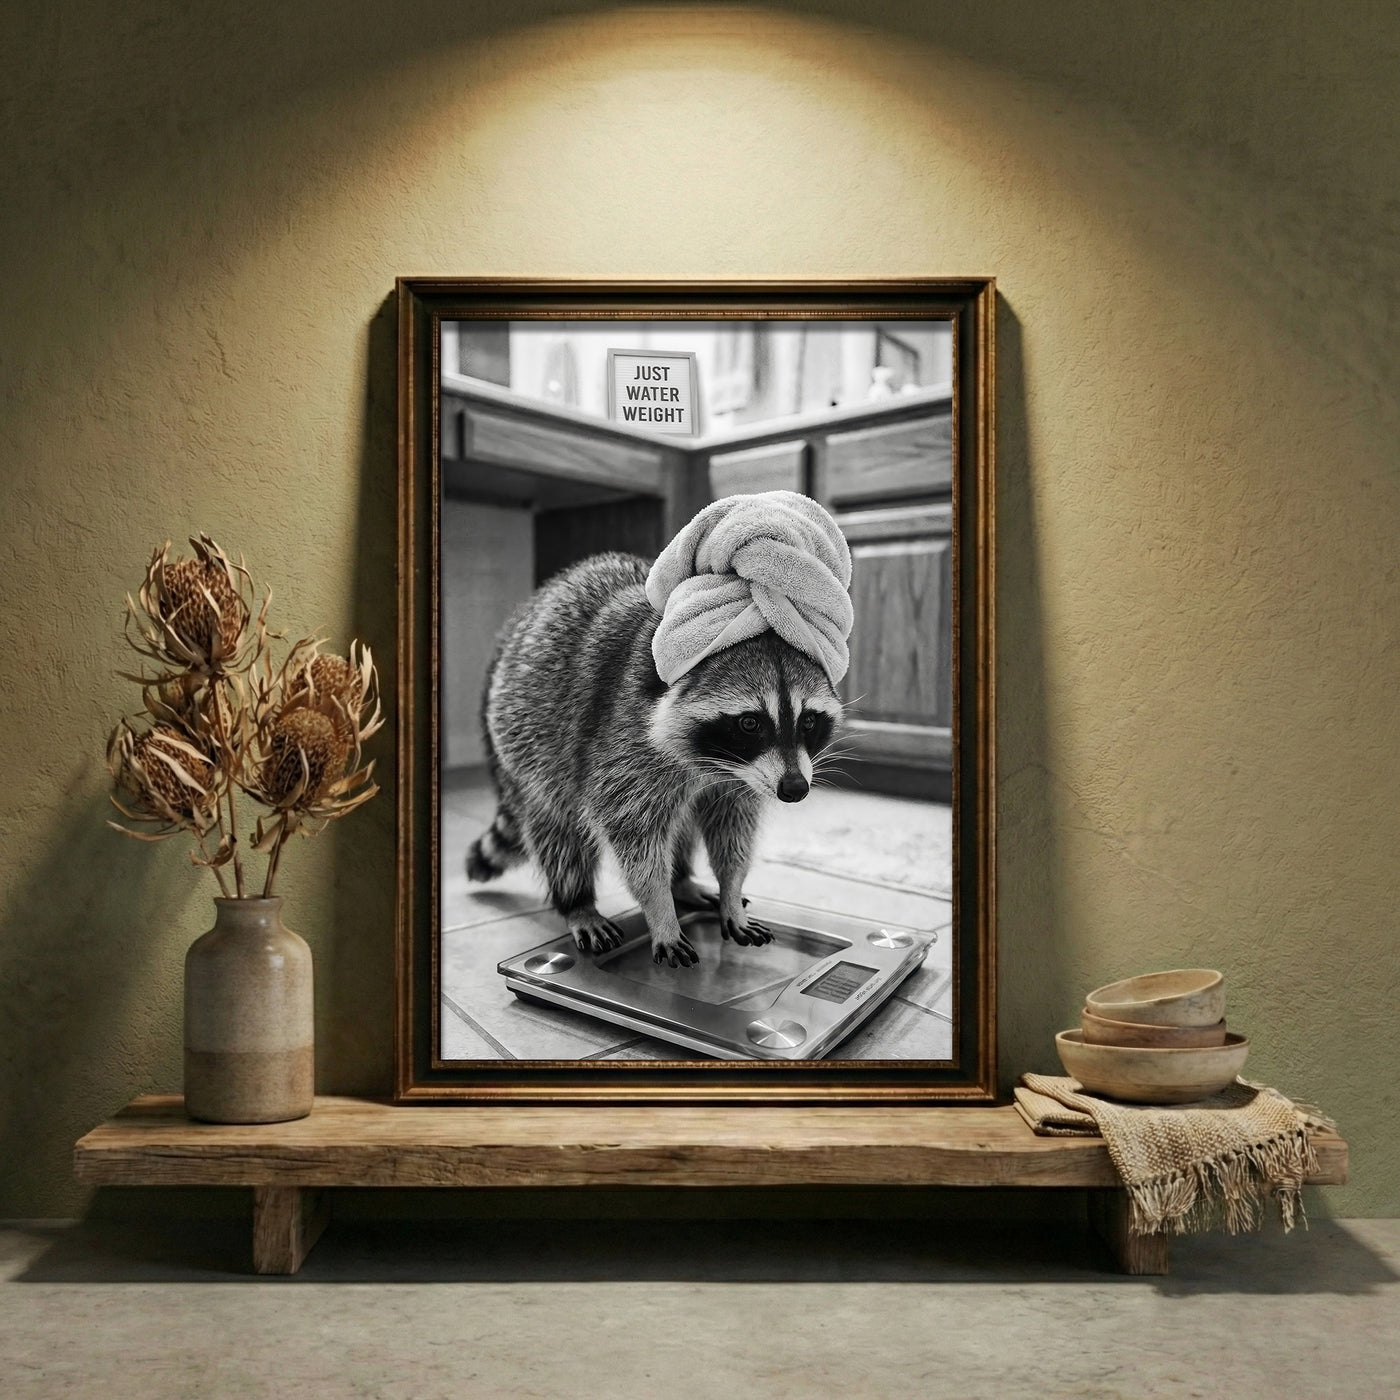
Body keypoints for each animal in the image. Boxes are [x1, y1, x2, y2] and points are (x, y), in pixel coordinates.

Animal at [466, 552, 842, 967]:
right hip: (528, 749)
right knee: (557, 827)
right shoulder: (625, 746)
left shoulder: (739, 779)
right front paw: (659, 909)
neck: (713, 762)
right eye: (749, 723)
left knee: (682, 824)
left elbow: (733, 829)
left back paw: (682, 881)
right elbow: (634, 836)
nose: (795, 788)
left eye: (808, 721)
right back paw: (578, 902)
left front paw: (730, 888)